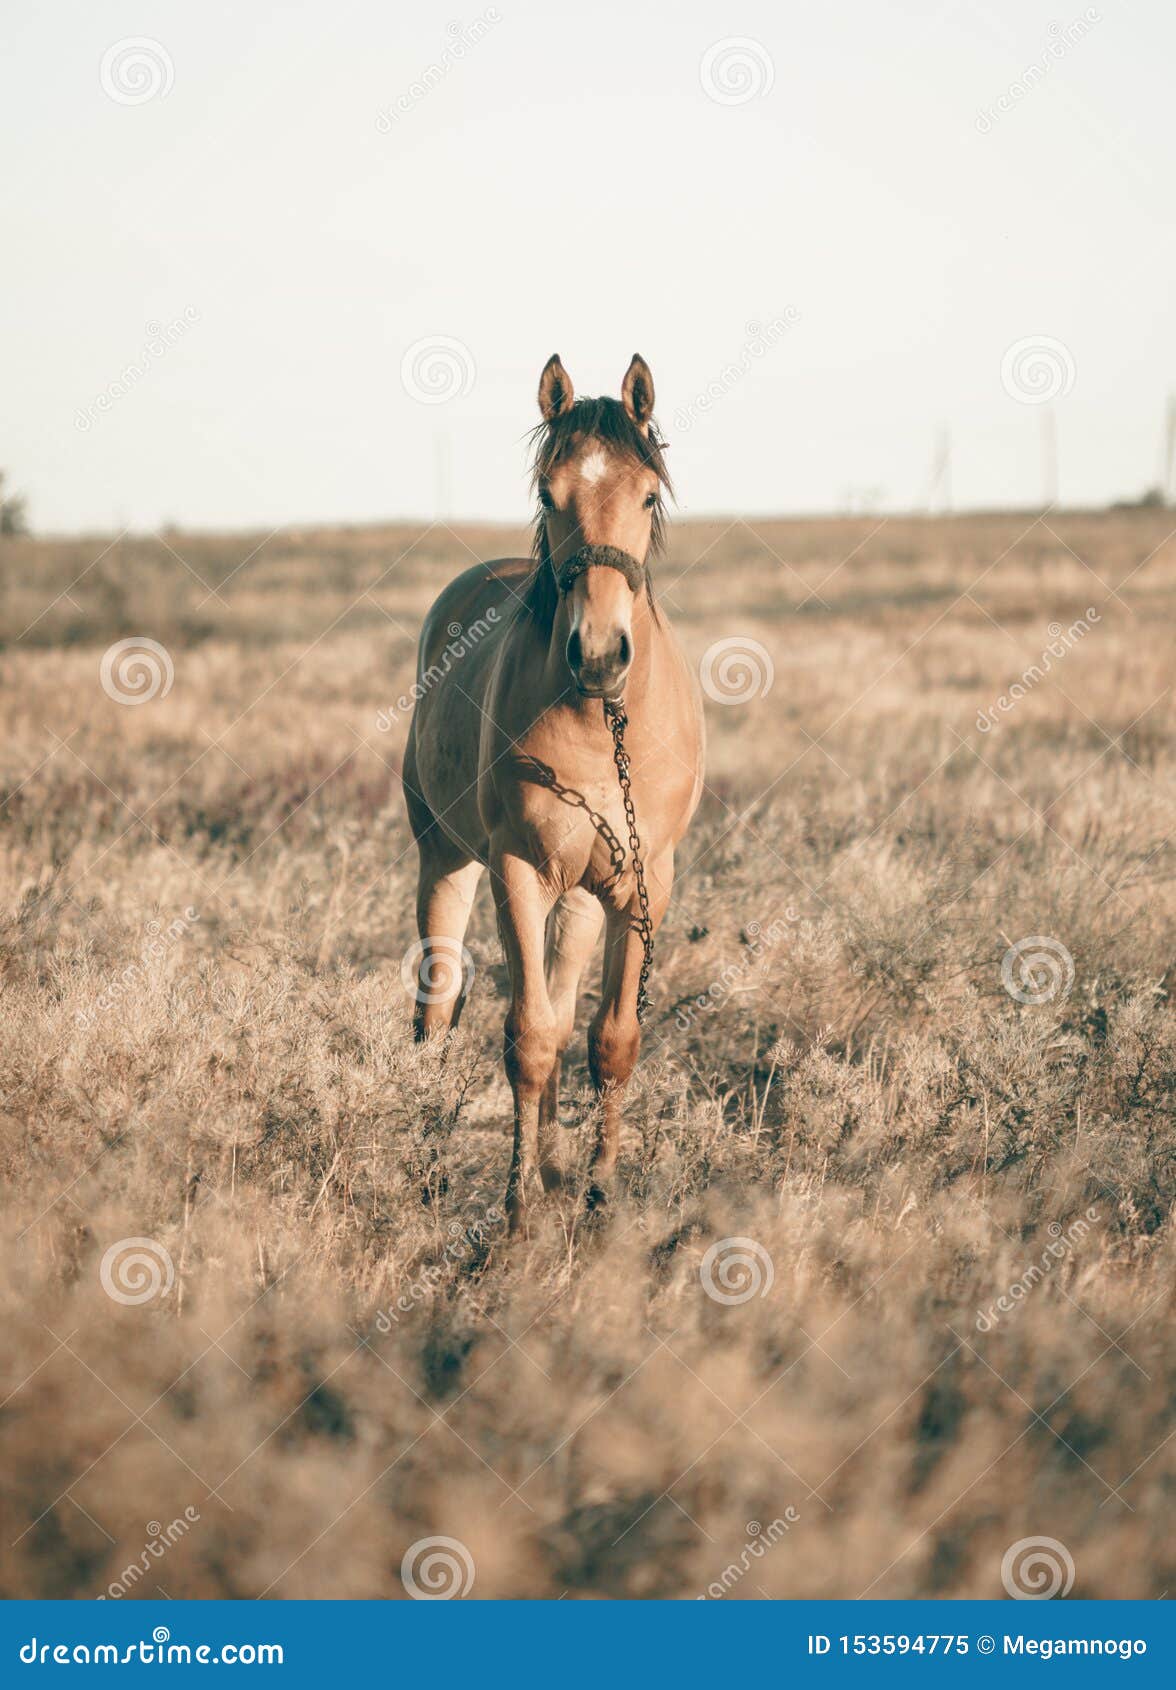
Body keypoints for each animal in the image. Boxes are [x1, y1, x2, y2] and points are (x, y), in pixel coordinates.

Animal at [403, 354, 704, 1231]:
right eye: (547, 493)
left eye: (648, 495)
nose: (598, 654)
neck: (602, 724)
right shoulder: (517, 871)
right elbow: (529, 1035)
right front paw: (518, 1204)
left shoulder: (645, 878)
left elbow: (608, 1037)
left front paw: (597, 1185)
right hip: (446, 857)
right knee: (437, 1004)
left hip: (581, 894)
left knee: (568, 1005)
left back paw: (557, 1160)